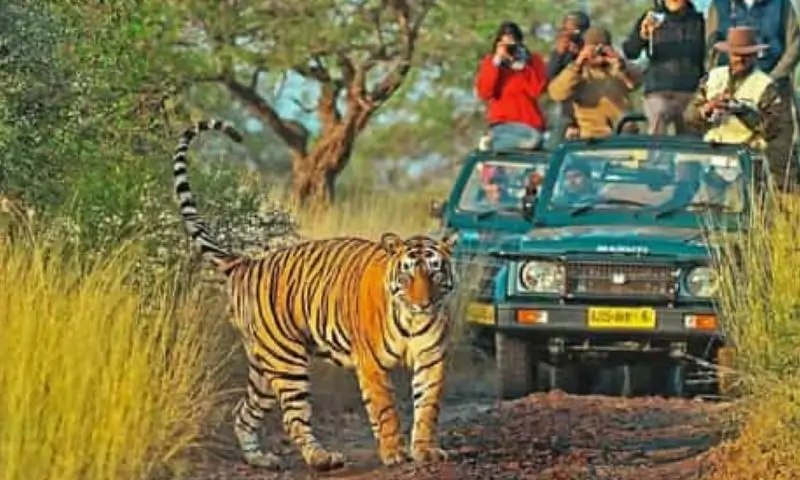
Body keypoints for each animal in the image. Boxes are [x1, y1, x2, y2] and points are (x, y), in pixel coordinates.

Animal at [171, 119, 459, 471]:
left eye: (435, 272)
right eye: (407, 275)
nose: (423, 303)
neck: (411, 320)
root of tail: (247, 263)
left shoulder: (431, 359)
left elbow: (428, 408)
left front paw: (426, 450)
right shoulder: (372, 365)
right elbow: (385, 410)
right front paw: (394, 453)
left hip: (263, 366)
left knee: (243, 412)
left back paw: (261, 459)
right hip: (286, 360)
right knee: (293, 418)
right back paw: (321, 458)